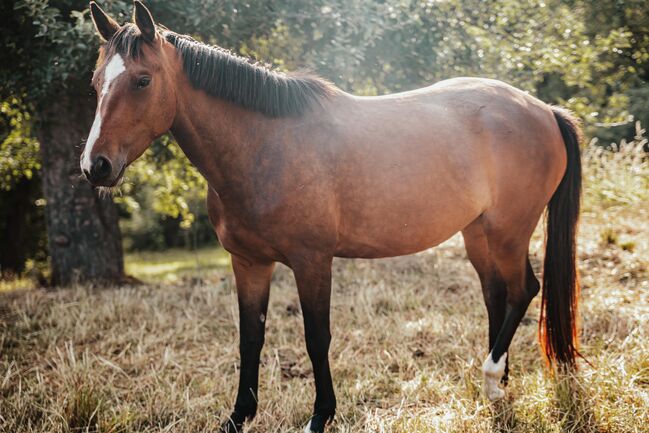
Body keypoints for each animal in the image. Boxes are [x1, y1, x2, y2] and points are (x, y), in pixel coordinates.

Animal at [81, 1, 584, 430]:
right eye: (96, 83)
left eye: (142, 80)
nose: (95, 165)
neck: (264, 146)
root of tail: (543, 110)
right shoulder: (248, 263)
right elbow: (250, 338)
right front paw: (238, 417)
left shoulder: (312, 262)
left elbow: (315, 337)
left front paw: (320, 416)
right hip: (477, 234)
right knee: (496, 297)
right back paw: (499, 382)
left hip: (508, 232)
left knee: (523, 290)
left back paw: (491, 379)